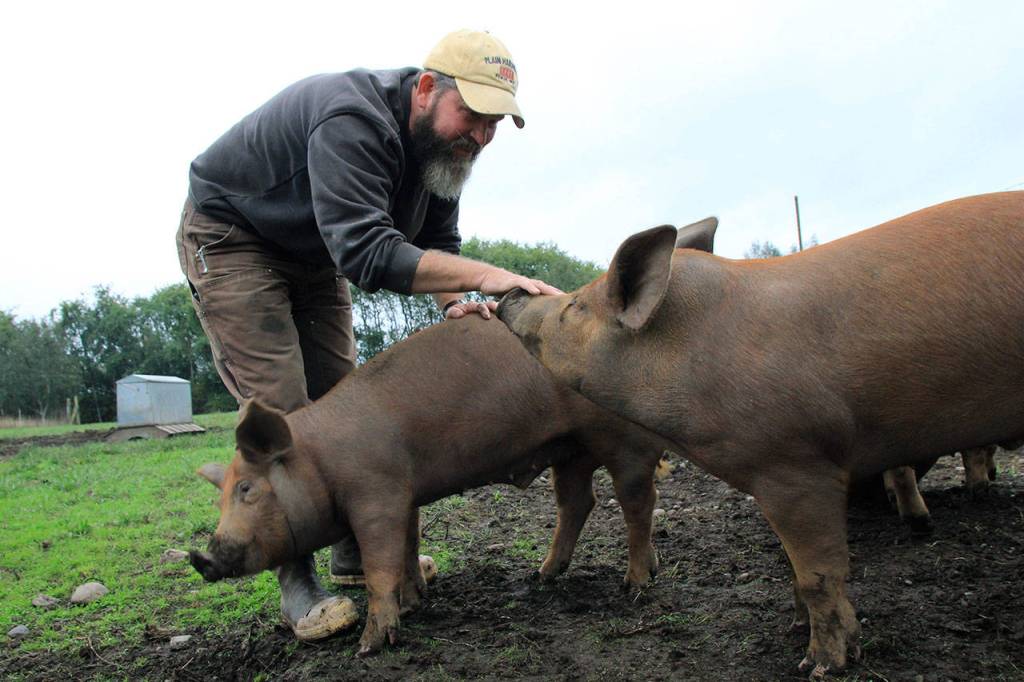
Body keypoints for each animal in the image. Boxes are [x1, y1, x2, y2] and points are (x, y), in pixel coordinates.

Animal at [189, 316, 673, 655]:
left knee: (637, 501)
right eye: (220, 497)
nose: (203, 557)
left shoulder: (377, 497)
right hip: (570, 450)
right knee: (578, 502)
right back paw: (545, 574)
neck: (322, 462)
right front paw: (412, 604)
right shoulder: (406, 497)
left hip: (621, 439)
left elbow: (380, 566)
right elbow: (407, 549)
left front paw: (370, 646)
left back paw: (635, 584)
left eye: (247, 489)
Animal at [496, 191, 1024, 676]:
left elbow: (819, 574)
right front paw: (796, 630)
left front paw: (819, 666)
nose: (511, 295)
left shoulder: (796, 466)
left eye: (574, 305)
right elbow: (794, 567)